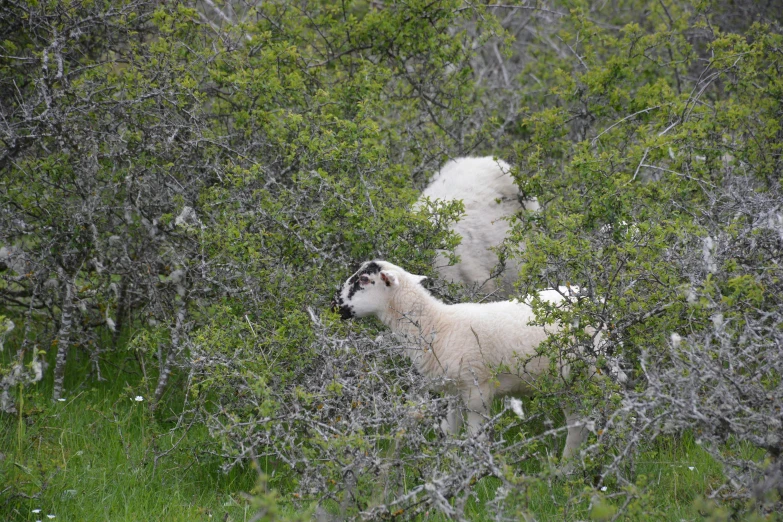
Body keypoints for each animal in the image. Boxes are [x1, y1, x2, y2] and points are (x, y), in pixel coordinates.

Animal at [334, 260, 592, 460]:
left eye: (364, 279)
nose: (335, 305)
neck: (436, 325)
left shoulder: (477, 391)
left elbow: (475, 438)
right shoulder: (453, 391)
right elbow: (449, 432)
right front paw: (448, 465)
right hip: (568, 384)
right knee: (578, 425)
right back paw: (566, 467)